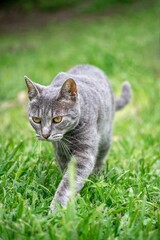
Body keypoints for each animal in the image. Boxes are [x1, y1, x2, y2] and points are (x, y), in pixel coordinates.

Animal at [24, 64, 132, 212]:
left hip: (105, 137)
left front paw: (56, 208)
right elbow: (66, 172)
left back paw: (96, 175)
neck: (68, 137)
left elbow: (68, 182)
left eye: (57, 119)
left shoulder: (84, 153)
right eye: (36, 119)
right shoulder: (60, 152)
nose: (45, 134)